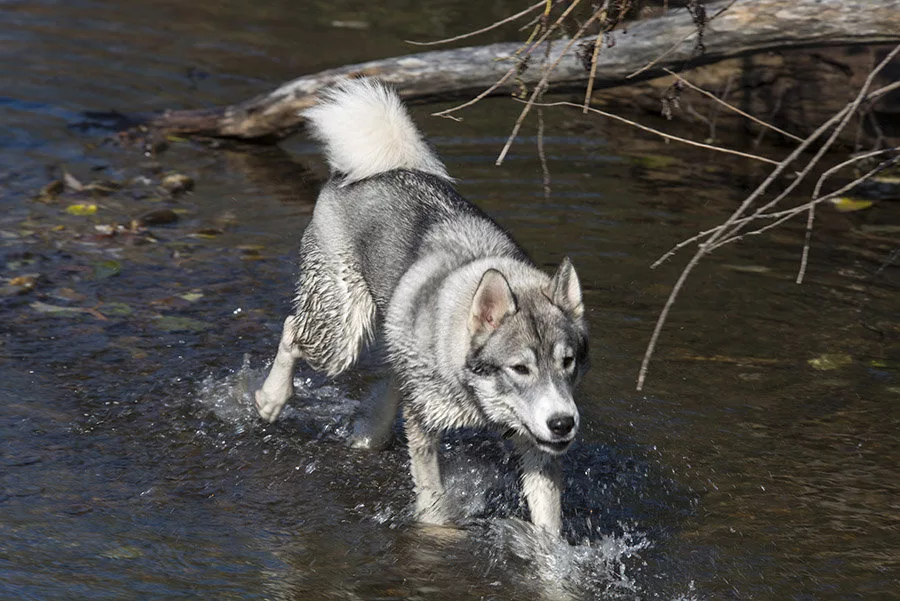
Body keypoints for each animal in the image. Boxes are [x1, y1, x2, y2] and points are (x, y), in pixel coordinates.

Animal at [255, 79, 592, 536]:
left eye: (567, 362)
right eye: (520, 368)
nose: (563, 423)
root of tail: (384, 168)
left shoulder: (535, 444)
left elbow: (547, 527)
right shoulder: (426, 426)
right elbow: (433, 501)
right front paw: (438, 534)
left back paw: (368, 430)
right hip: (341, 339)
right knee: (293, 329)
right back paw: (270, 399)